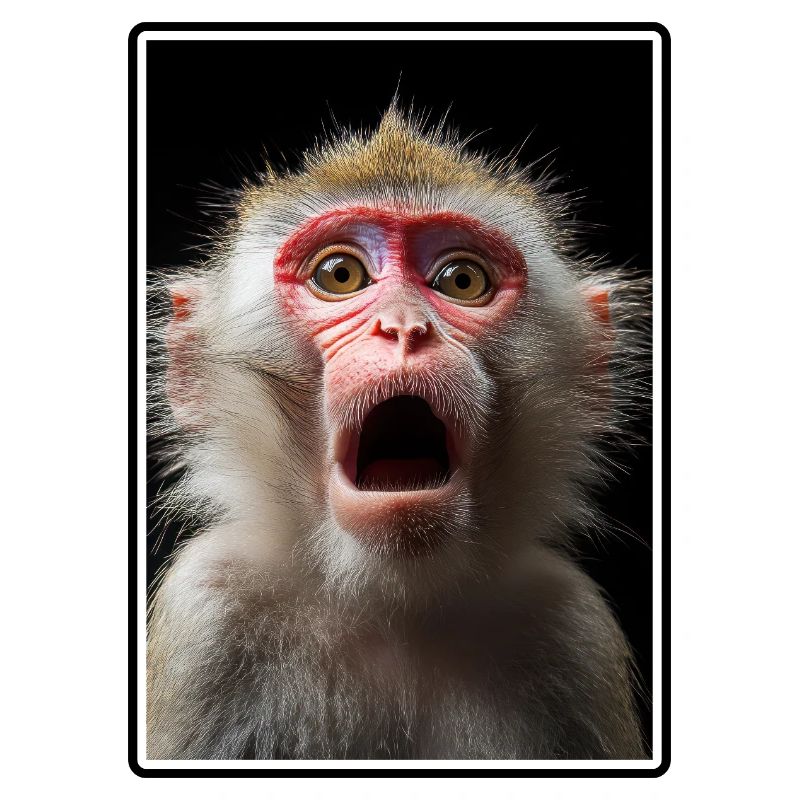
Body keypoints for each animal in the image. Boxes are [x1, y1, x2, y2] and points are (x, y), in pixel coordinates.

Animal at [146, 105, 651, 761]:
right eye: (340, 274)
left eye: (461, 280)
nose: (405, 327)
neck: (393, 602)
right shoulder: (208, 611)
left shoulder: (572, 630)